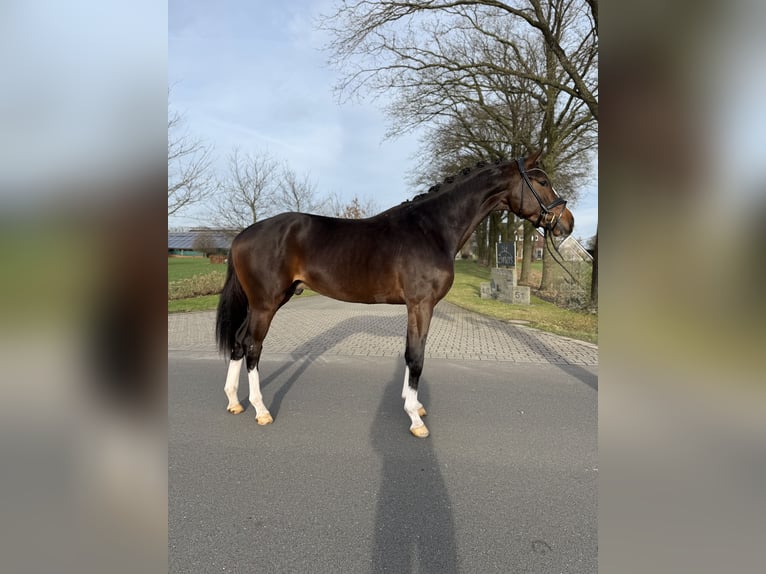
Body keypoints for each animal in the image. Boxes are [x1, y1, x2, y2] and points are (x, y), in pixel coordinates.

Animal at [215, 150, 574, 437]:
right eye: (542, 181)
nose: (566, 223)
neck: (432, 230)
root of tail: (242, 236)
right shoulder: (421, 305)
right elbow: (416, 356)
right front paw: (415, 419)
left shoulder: (416, 307)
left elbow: (412, 352)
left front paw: (413, 405)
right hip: (266, 303)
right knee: (252, 347)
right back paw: (261, 411)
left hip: (269, 301)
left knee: (238, 341)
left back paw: (234, 401)